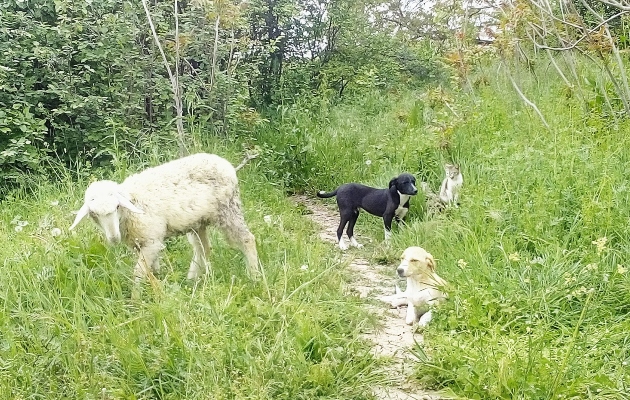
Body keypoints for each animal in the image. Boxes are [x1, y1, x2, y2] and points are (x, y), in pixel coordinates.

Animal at [68, 153, 258, 282]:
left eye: (117, 207)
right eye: (93, 214)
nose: (114, 238)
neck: (132, 205)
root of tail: (225, 163)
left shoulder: (152, 241)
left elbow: (139, 273)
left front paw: (136, 301)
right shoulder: (141, 244)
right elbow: (151, 270)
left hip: (228, 209)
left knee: (247, 239)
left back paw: (254, 275)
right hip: (198, 222)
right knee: (203, 248)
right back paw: (192, 280)